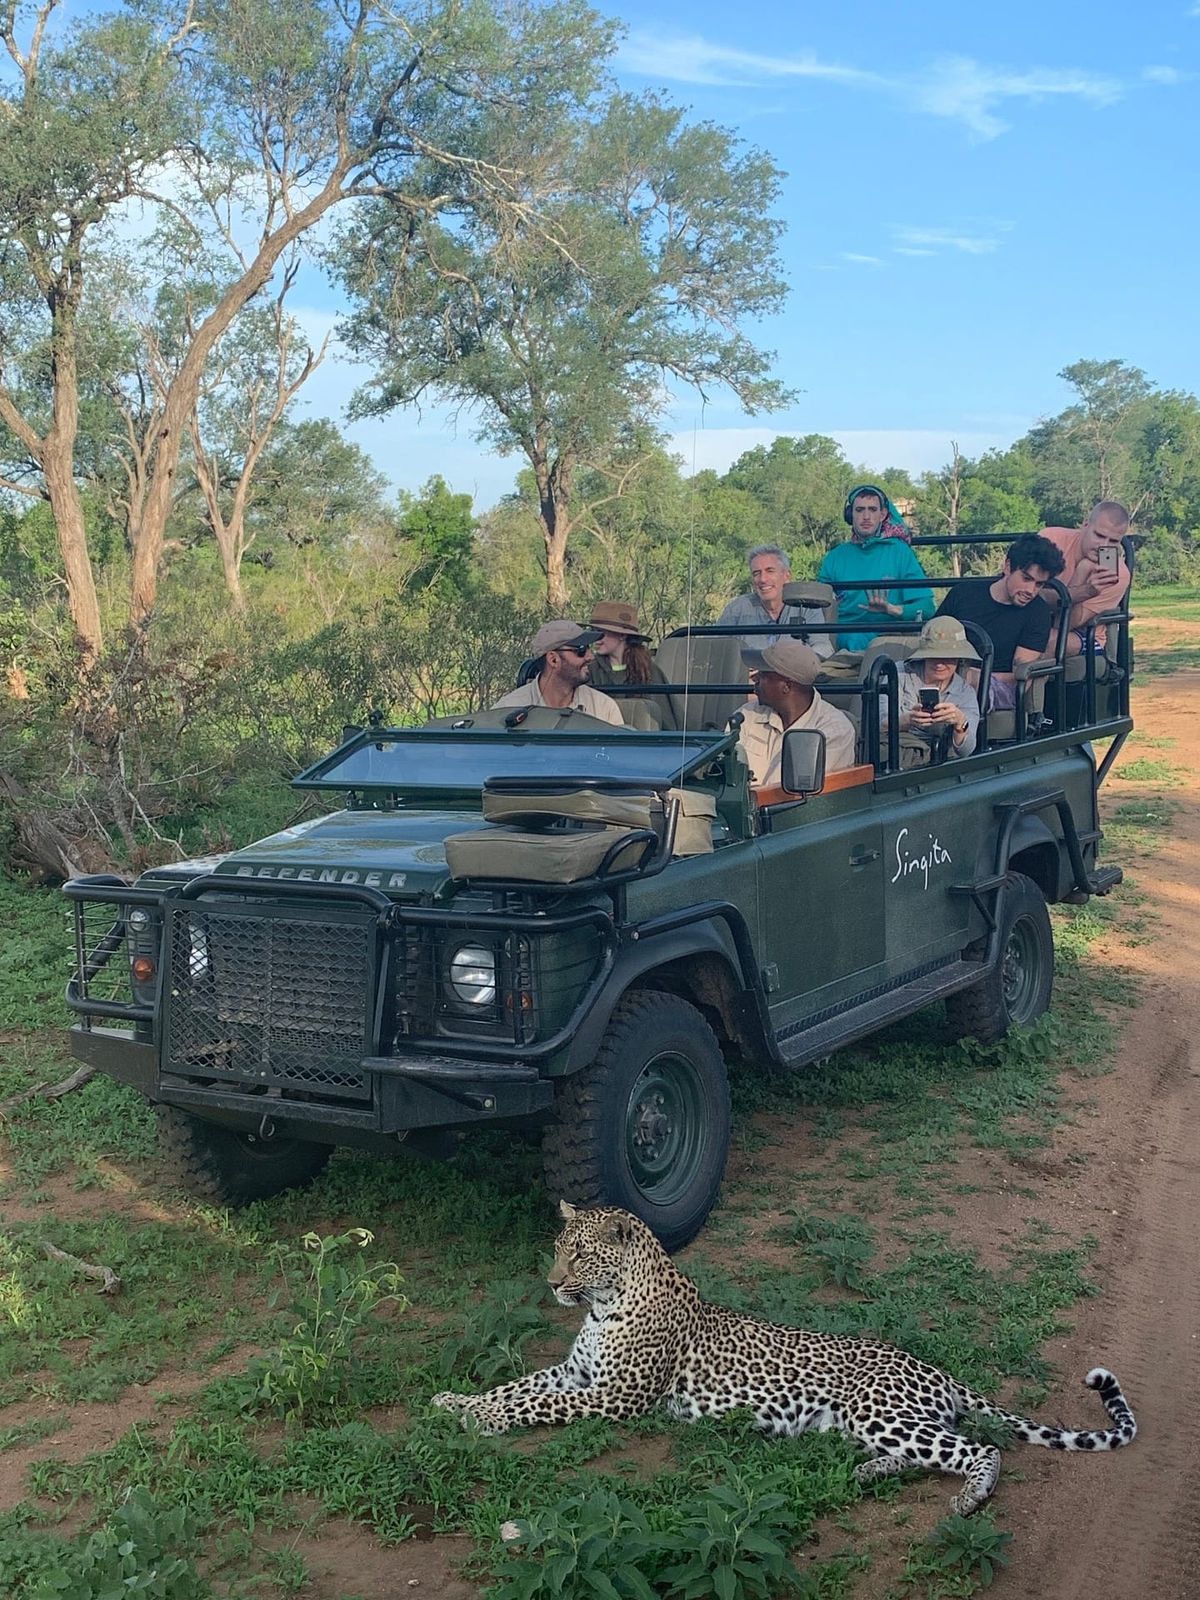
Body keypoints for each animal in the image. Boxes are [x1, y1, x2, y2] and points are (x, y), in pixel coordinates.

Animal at [433, 1202, 1136, 1515]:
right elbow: (521, 1386)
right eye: (559, 1247)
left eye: (579, 1253)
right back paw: (868, 1475)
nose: (551, 1283)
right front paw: (456, 1401)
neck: (606, 1304)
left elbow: (537, 1405)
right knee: (932, 1451)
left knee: (981, 1449)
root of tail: (933, 1367)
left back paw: (968, 1500)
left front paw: (479, 1419)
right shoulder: (578, 1374)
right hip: (865, 1425)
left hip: (882, 1412)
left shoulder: (613, 1396)